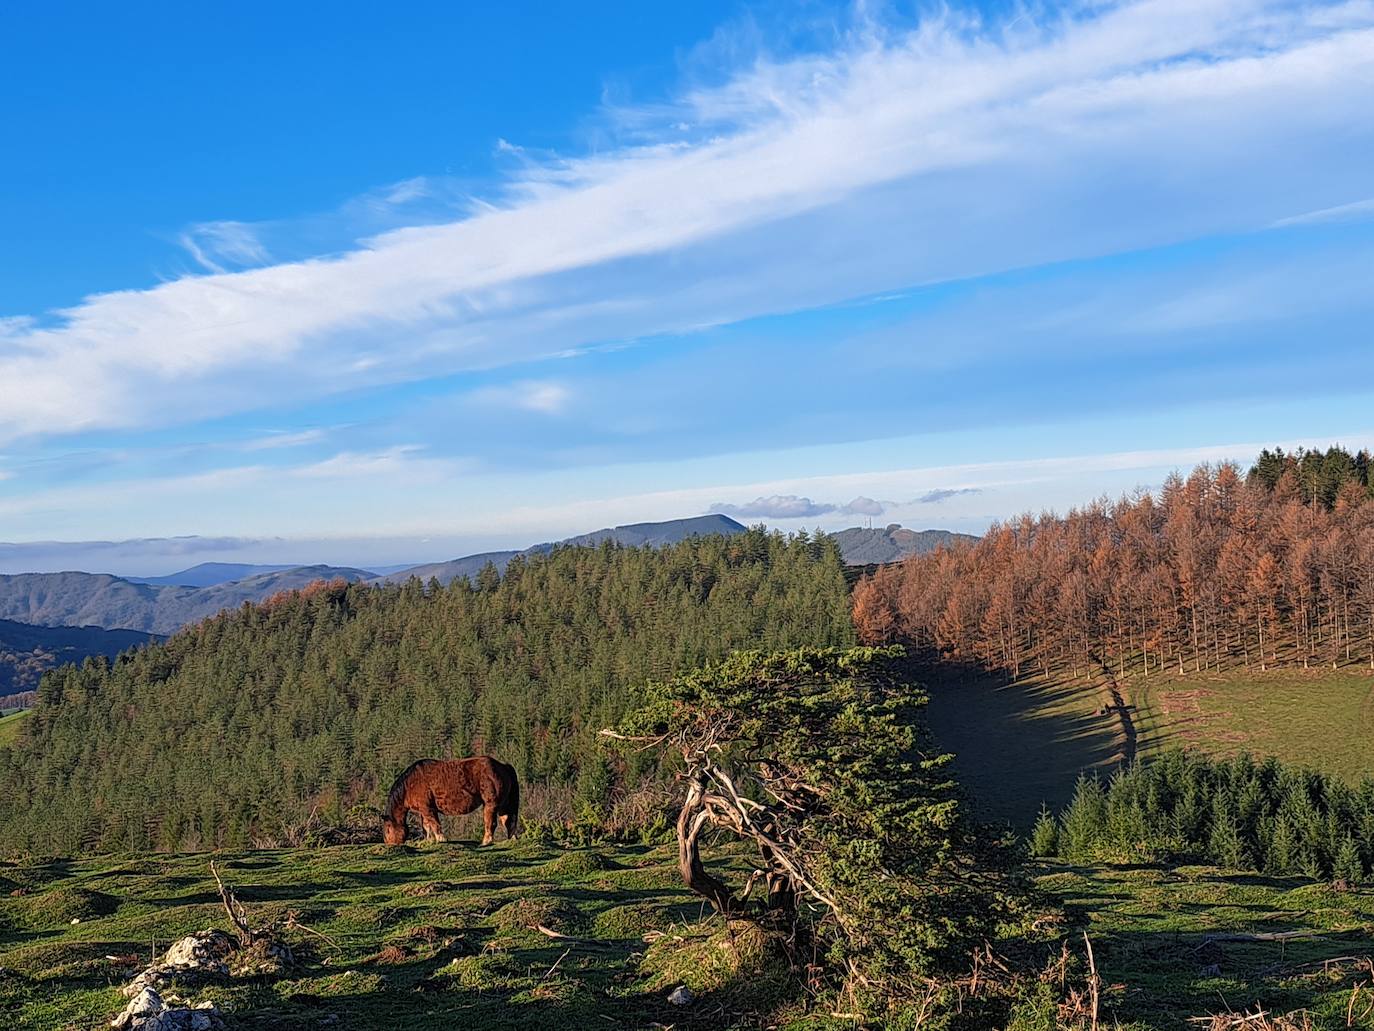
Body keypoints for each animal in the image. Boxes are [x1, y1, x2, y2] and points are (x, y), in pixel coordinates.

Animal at [381, 758, 519, 846]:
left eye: (388, 830)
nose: (389, 844)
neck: (410, 784)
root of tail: (503, 766)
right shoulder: (423, 811)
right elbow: (426, 826)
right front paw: (429, 840)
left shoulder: (427, 809)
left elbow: (434, 824)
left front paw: (441, 839)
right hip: (503, 805)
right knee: (508, 820)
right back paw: (512, 838)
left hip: (491, 804)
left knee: (491, 823)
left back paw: (486, 841)